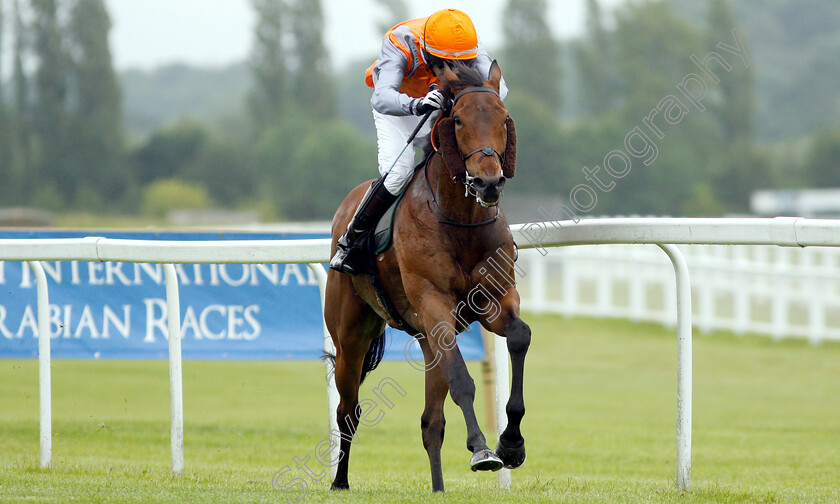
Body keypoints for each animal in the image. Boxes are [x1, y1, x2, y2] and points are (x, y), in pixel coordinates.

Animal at [324, 60, 528, 492]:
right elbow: (463, 381)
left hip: (424, 340)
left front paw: (512, 444)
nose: (488, 182)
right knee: (348, 410)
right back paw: (339, 481)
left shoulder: (495, 299)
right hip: (351, 337)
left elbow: (520, 335)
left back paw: (438, 487)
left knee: (431, 423)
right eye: (458, 120)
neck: (460, 220)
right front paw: (483, 450)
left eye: (503, 119)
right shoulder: (435, 306)